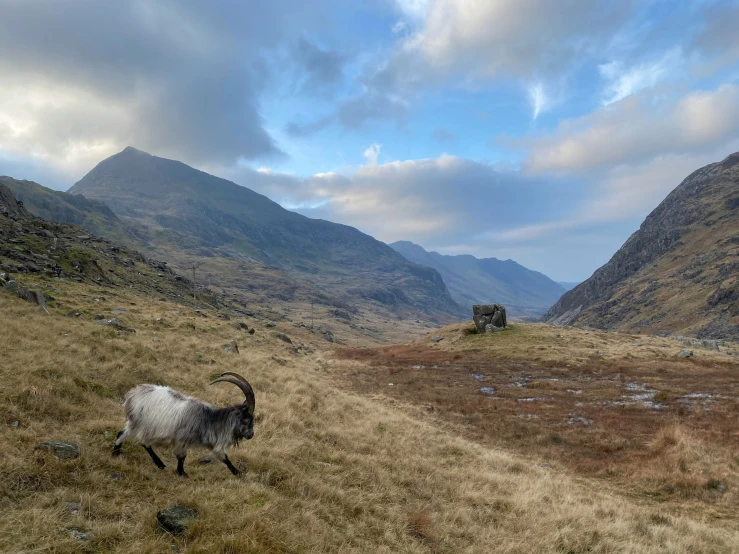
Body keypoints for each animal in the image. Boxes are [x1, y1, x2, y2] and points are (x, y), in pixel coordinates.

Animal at [111, 370, 256, 474]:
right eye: (246, 420)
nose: (251, 435)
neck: (209, 420)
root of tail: (133, 395)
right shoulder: (182, 439)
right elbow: (182, 456)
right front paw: (182, 473)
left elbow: (223, 457)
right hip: (145, 425)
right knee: (143, 442)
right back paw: (160, 464)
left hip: (134, 422)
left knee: (122, 433)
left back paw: (116, 453)